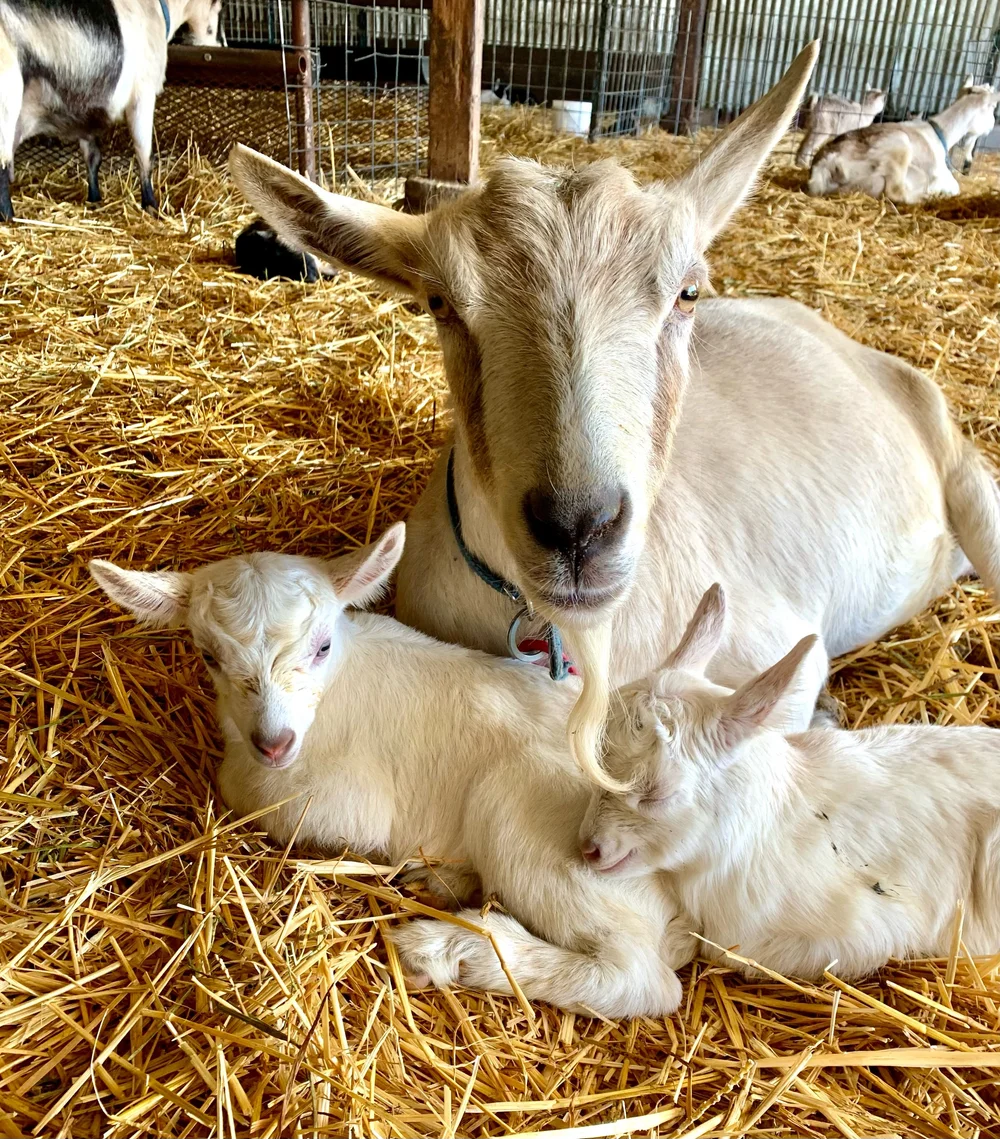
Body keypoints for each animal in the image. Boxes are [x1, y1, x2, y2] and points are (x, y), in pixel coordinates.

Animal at [0, 0, 224, 220]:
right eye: (219, 11)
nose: (219, 46)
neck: (158, 10)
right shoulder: (143, 93)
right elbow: (144, 154)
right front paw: (152, 207)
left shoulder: (87, 101)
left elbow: (93, 155)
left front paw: (95, 199)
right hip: (8, 97)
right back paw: (9, 217)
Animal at [88, 525, 696, 1018]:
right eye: (209, 657)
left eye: (321, 647)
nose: (275, 743)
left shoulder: (335, 802)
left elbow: (246, 791)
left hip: (536, 834)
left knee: (639, 978)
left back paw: (452, 951)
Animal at [808, 83, 1000, 204]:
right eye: (992, 108)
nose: (992, 125)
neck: (940, 132)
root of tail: (827, 162)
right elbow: (954, 187)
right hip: (900, 144)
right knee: (896, 193)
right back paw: (925, 198)